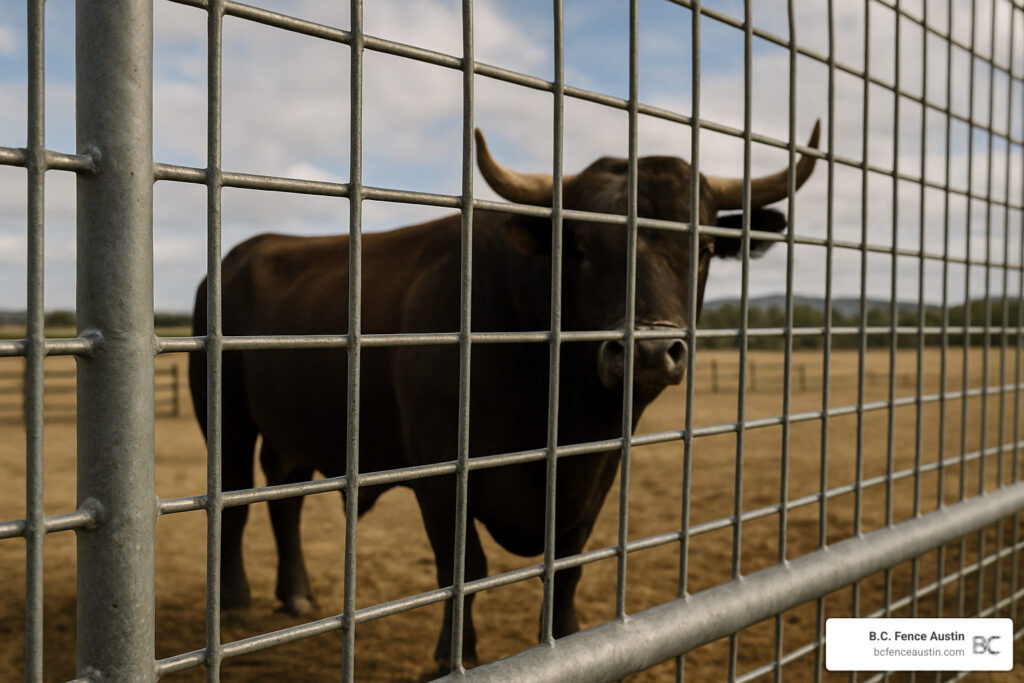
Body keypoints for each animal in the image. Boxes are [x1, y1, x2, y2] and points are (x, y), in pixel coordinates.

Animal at [188, 122, 820, 670]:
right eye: (578, 245)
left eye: (706, 247)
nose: (646, 352)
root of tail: (235, 258)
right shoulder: (441, 472)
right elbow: (463, 566)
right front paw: (455, 655)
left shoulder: (595, 476)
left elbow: (568, 567)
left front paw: (569, 638)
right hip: (226, 419)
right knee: (235, 503)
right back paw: (236, 604)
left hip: (292, 431)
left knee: (285, 499)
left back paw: (295, 595)